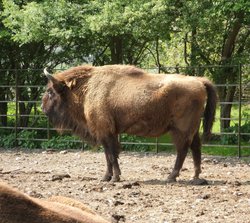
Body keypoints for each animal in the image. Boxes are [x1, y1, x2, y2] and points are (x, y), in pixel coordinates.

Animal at [41, 64, 217, 183]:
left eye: (50, 92)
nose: (42, 108)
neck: (88, 88)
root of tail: (199, 81)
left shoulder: (105, 131)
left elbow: (111, 155)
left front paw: (114, 178)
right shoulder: (108, 133)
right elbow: (108, 155)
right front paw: (107, 177)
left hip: (181, 129)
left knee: (183, 150)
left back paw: (171, 176)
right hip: (192, 129)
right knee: (195, 148)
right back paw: (195, 177)